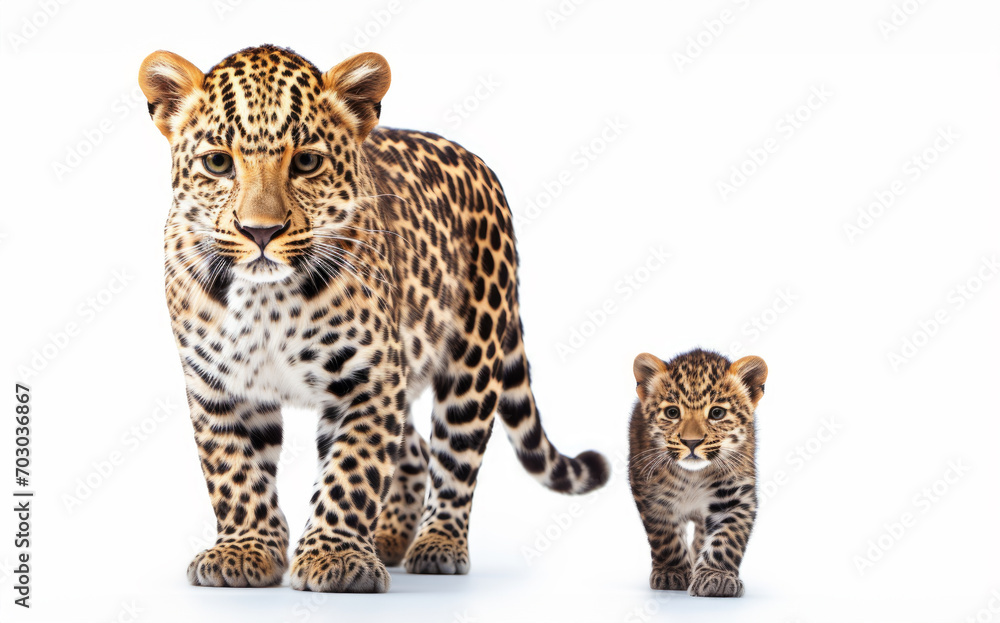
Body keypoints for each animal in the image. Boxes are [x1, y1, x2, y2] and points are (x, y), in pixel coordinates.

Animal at [138, 44, 609, 593]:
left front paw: (335, 557)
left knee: (454, 457)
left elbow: (351, 470)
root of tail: (478, 163)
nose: (261, 232)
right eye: (218, 163)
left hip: (474, 355)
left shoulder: (369, 380)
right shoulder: (220, 386)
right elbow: (235, 472)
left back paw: (436, 545)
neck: (266, 300)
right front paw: (245, 549)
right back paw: (390, 537)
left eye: (306, 162)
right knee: (416, 452)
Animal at [628, 348, 767, 597]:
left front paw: (717, 577)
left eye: (717, 413)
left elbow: (727, 537)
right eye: (672, 412)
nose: (691, 442)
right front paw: (671, 573)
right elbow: (666, 537)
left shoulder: (735, 496)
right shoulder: (651, 496)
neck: (693, 477)